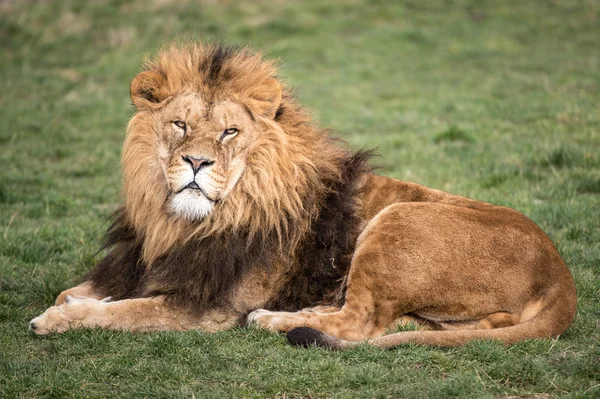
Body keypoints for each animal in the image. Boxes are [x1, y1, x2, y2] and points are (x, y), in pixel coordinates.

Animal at [29, 44, 576, 350]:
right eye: (180, 124)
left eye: (229, 132)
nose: (197, 163)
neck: (181, 222)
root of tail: (560, 274)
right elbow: (81, 293)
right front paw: (75, 300)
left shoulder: (206, 308)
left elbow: (117, 312)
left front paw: (55, 319)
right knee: (383, 323)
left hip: (398, 217)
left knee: (359, 323)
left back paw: (273, 320)